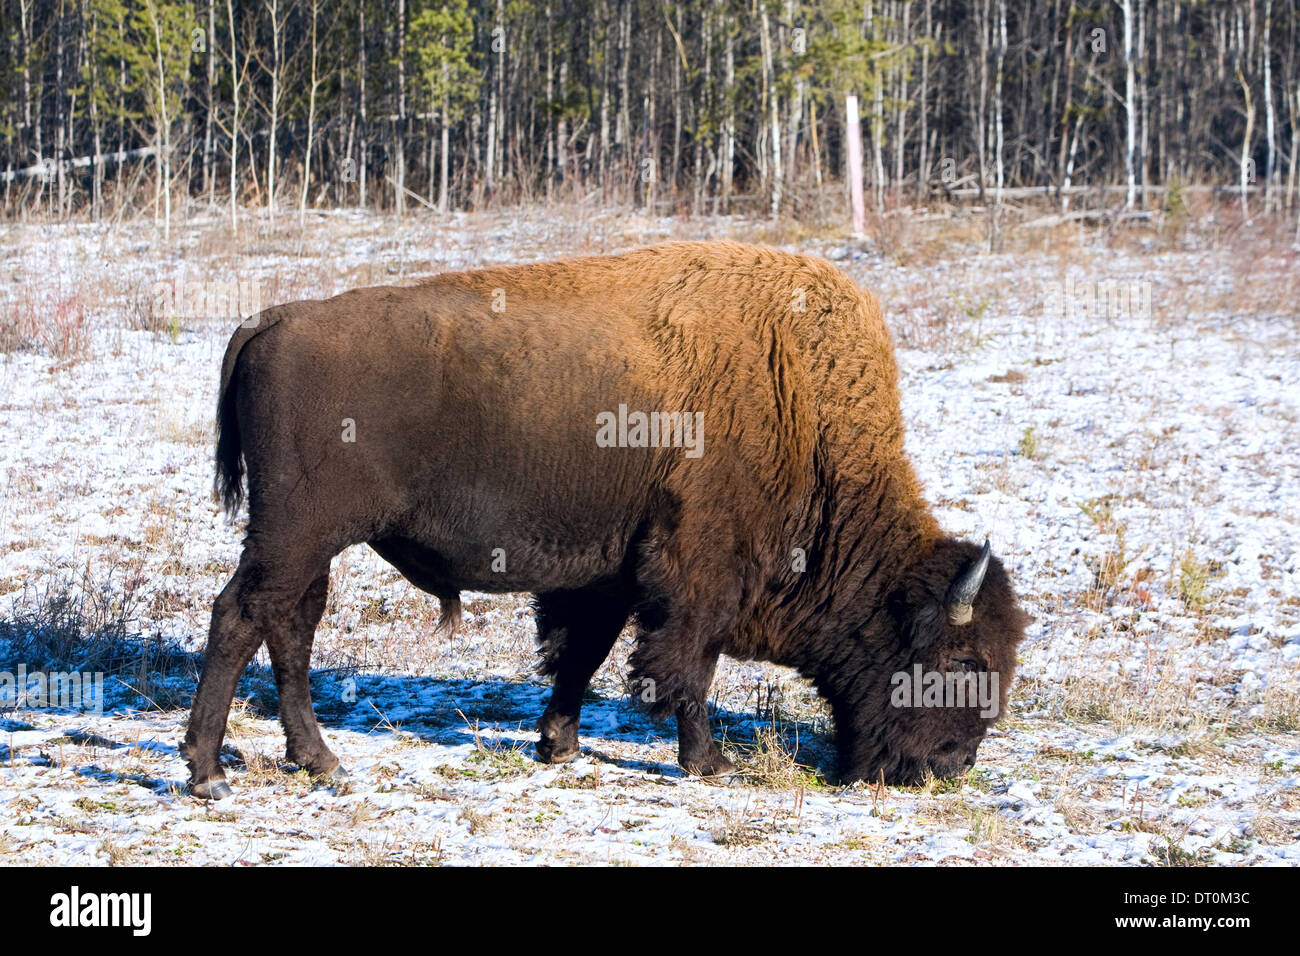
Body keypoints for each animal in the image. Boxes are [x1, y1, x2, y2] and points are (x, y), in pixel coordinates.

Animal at [183, 240, 1029, 801]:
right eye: (963, 660)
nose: (951, 766)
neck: (794, 398)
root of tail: (274, 322)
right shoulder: (698, 575)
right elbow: (683, 668)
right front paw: (707, 762)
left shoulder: (612, 575)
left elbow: (581, 656)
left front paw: (556, 744)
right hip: (296, 535)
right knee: (239, 616)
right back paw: (205, 771)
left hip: (310, 545)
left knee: (289, 627)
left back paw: (318, 760)